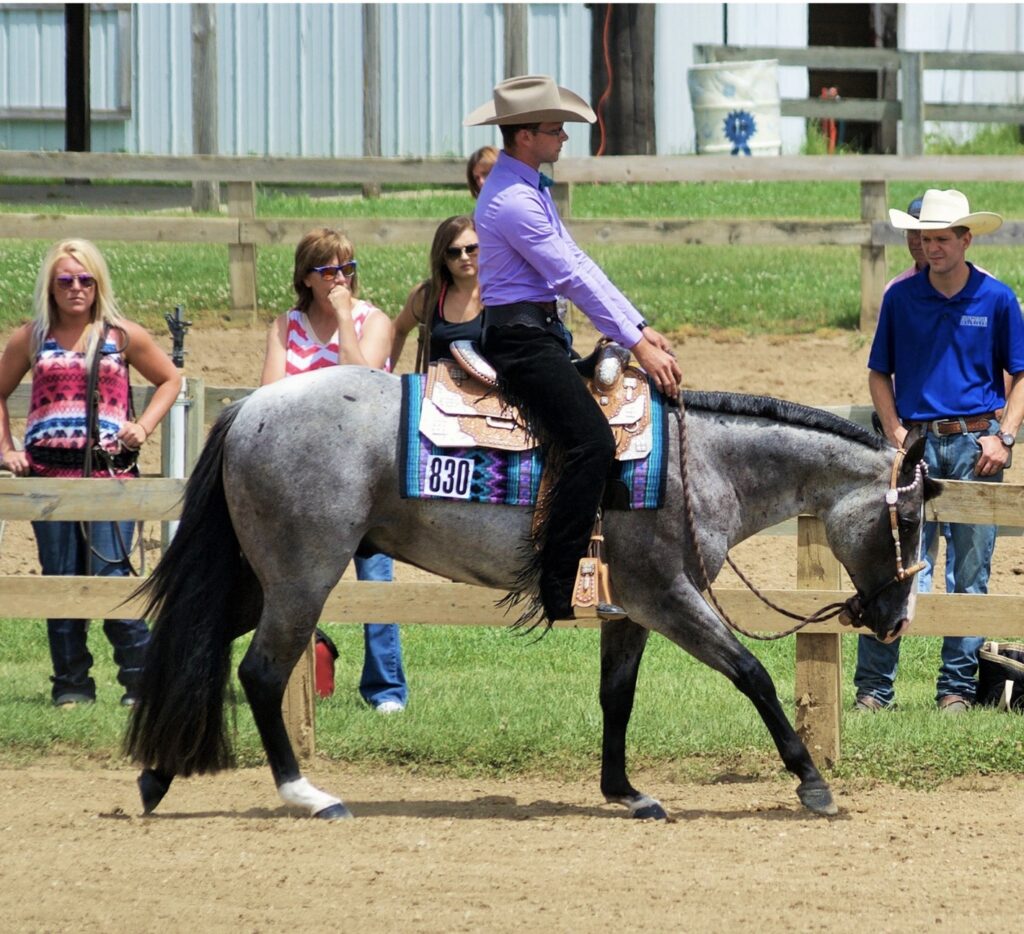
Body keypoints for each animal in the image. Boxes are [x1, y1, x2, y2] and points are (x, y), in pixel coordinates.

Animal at [121, 364, 937, 819]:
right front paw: (811, 783)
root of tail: (249, 407)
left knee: (200, 644)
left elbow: (617, 697)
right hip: (301, 579)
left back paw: (157, 777)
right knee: (260, 673)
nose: (894, 620)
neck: (701, 463)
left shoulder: (630, 607)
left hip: (261, 580)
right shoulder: (670, 596)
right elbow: (753, 675)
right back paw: (306, 795)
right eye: (912, 519)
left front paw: (626, 792)